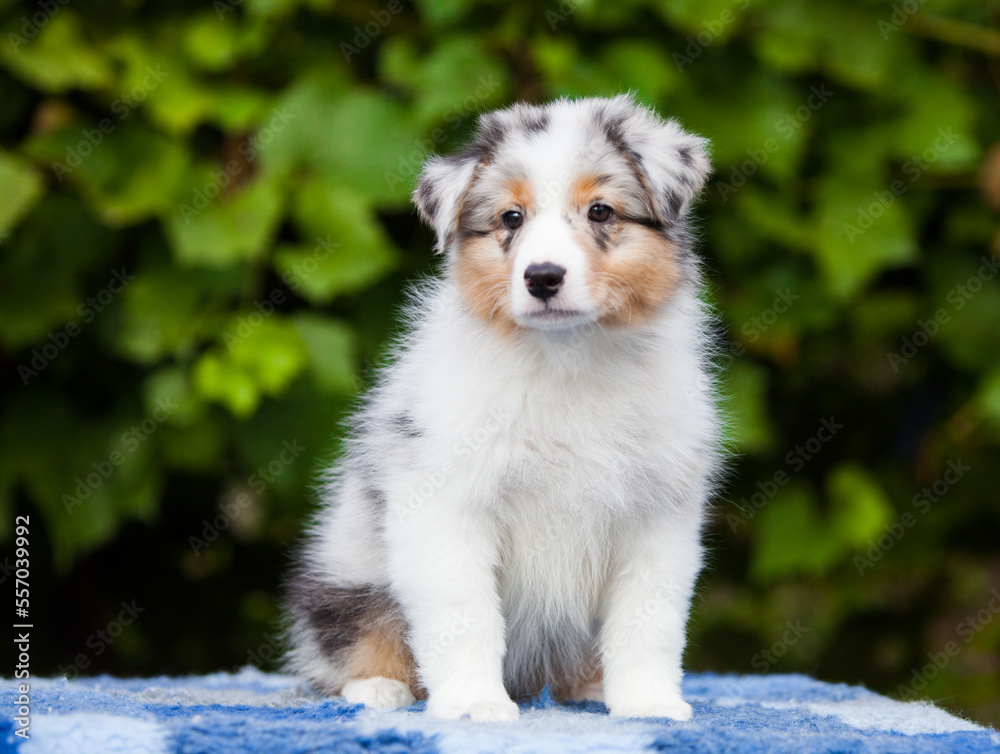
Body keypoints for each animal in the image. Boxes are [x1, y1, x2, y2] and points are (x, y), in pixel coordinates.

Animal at [286, 95, 724, 724]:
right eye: (511, 218)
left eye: (601, 211)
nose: (542, 277)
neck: (566, 358)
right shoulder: (446, 502)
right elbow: (464, 614)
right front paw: (474, 704)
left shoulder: (658, 513)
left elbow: (648, 622)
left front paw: (649, 704)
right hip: (349, 572)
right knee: (354, 637)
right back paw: (378, 688)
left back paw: (589, 686)